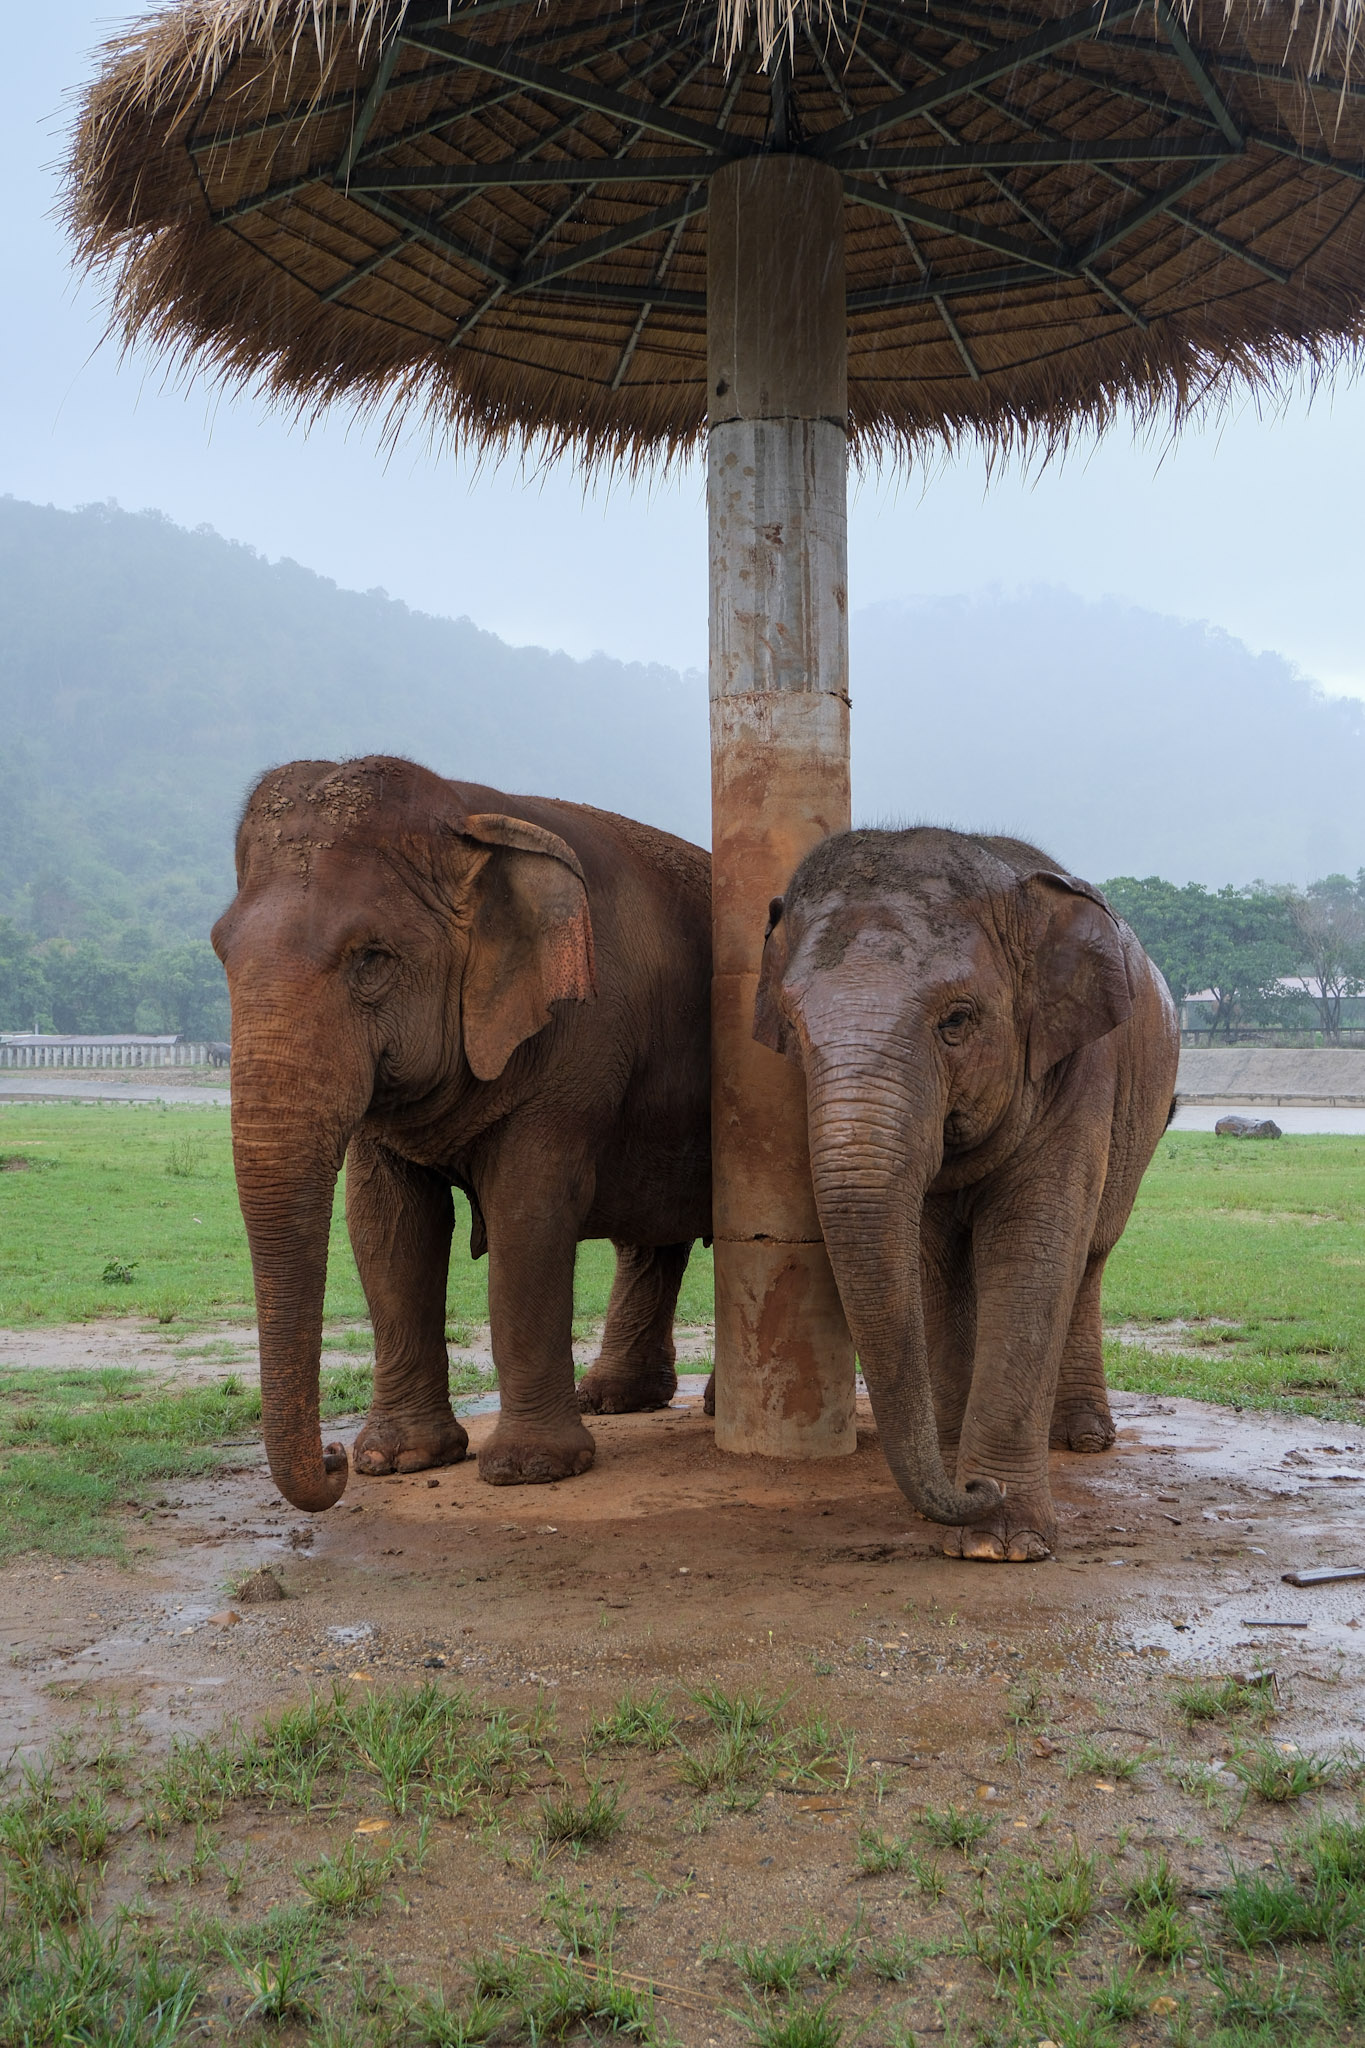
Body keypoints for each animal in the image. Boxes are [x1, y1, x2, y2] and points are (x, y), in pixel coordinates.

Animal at [211, 755, 710, 1513]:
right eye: (219, 952)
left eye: (372, 957)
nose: (331, 1457)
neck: (468, 811)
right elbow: (387, 1228)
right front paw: (396, 1460)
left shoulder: (579, 1039)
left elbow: (528, 1213)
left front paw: (530, 1471)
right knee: (650, 1238)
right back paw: (614, 1399)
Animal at [753, 827, 1180, 1562]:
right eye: (793, 1025)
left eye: (956, 1020)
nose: (978, 1490)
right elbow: (930, 1266)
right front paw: (958, 1505)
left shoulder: (1082, 1070)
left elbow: (1033, 1249)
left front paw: (999, 1541)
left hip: (1144, 1119)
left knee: (1090, 1257)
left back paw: (1082, 1439)